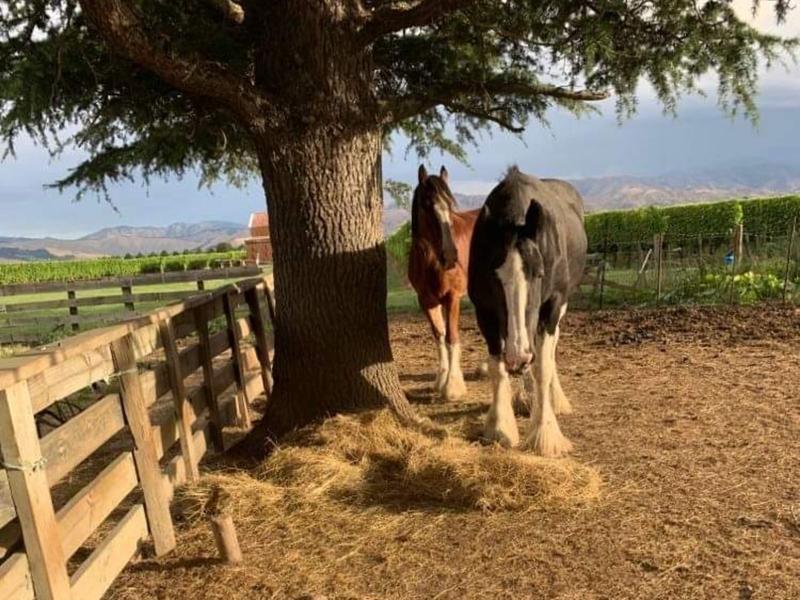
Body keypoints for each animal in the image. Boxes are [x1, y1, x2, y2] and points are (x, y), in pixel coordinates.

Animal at [409, 165, 480, 401]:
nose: (450, 256)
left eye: (450, 205)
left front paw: (453, 386)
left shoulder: (453, 297)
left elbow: (451, 337)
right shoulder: (426, 300)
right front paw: (441, 380)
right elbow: (439, 335)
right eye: (427, 205)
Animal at [468, 167, 587, 457]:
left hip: (559, 309)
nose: (518, 356)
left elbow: (543, 366)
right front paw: (500, 427)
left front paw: (545, 433)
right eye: (493, 278)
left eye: (539, 273)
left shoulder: (553, 305)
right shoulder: (484, 311)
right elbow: (497, 366)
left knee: (550, 351)